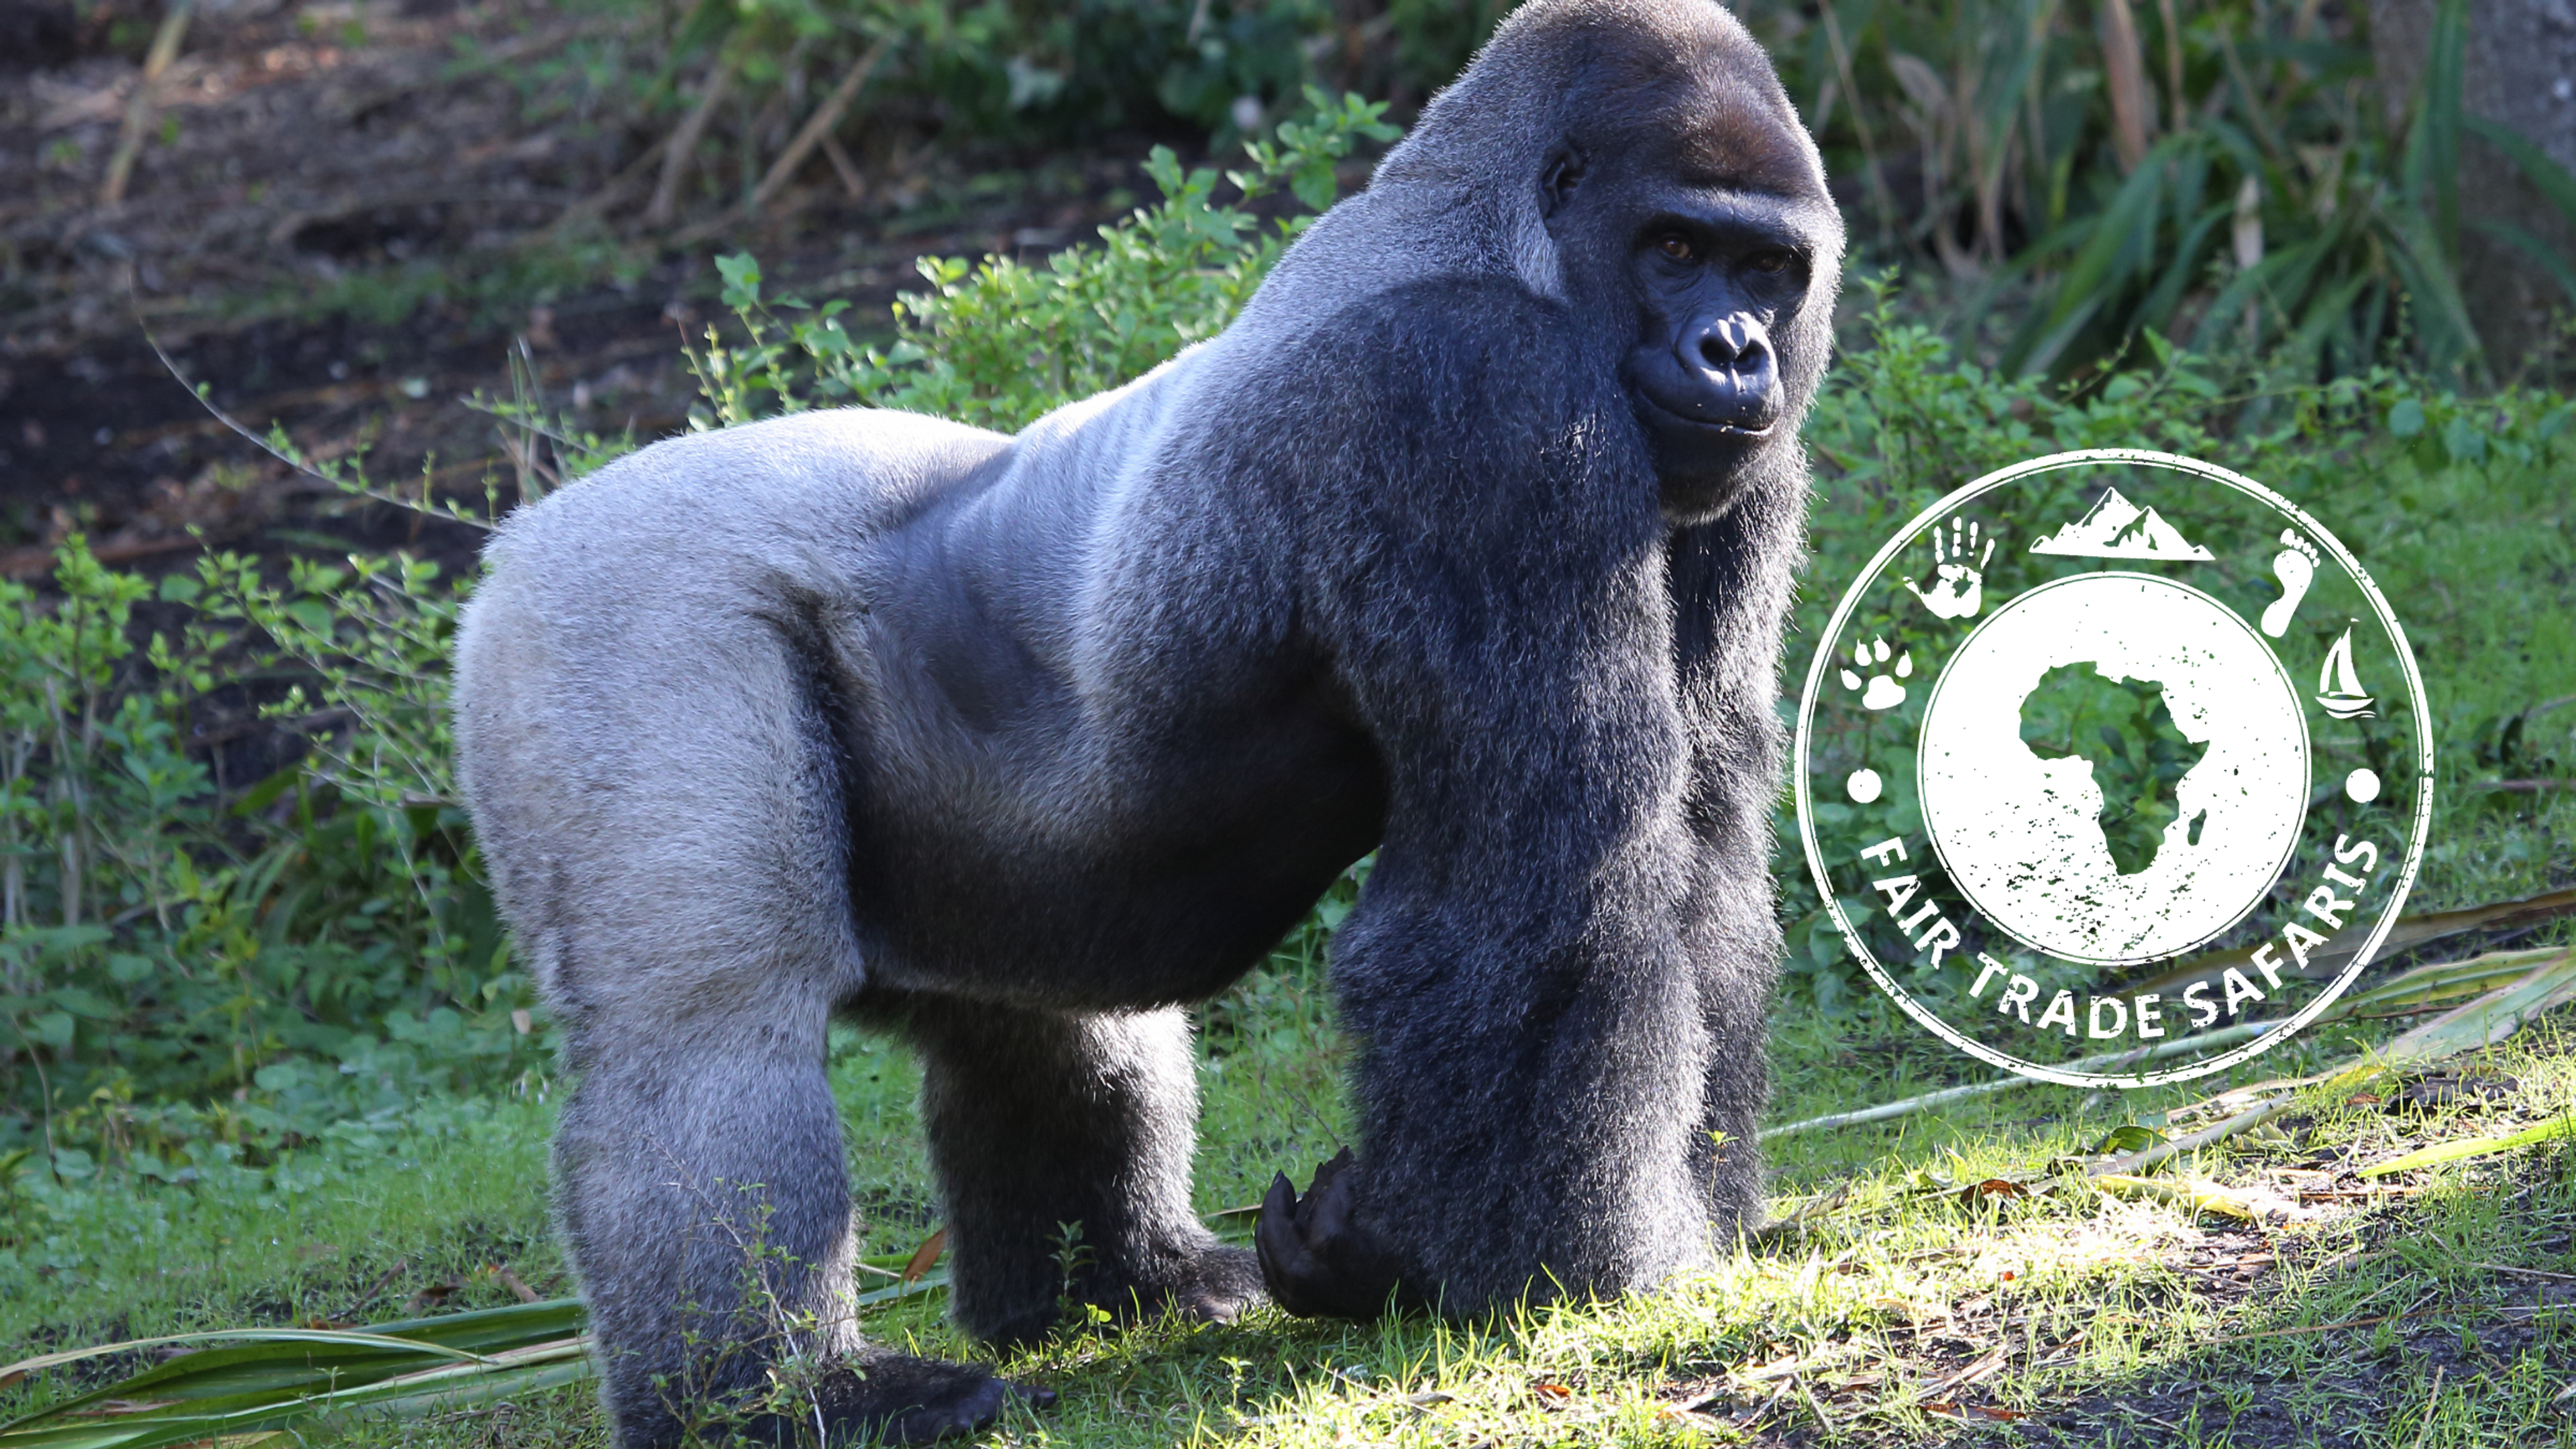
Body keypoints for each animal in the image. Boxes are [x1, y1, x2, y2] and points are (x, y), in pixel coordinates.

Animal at [451, 1, 1840, 1442]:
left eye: (1767, 268)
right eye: (1673, 249)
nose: (1735, 348)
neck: (1503, 234)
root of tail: (515, 539)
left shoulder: (1740, 471)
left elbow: (1700, 854)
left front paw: (1692, 1220)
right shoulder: (1479, 395)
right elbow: (1547, 888)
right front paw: (1535, 1273)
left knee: (1043, 1018)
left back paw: (1124, 1285)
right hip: (609, 614)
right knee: (711, 1036)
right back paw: (773, 1400)